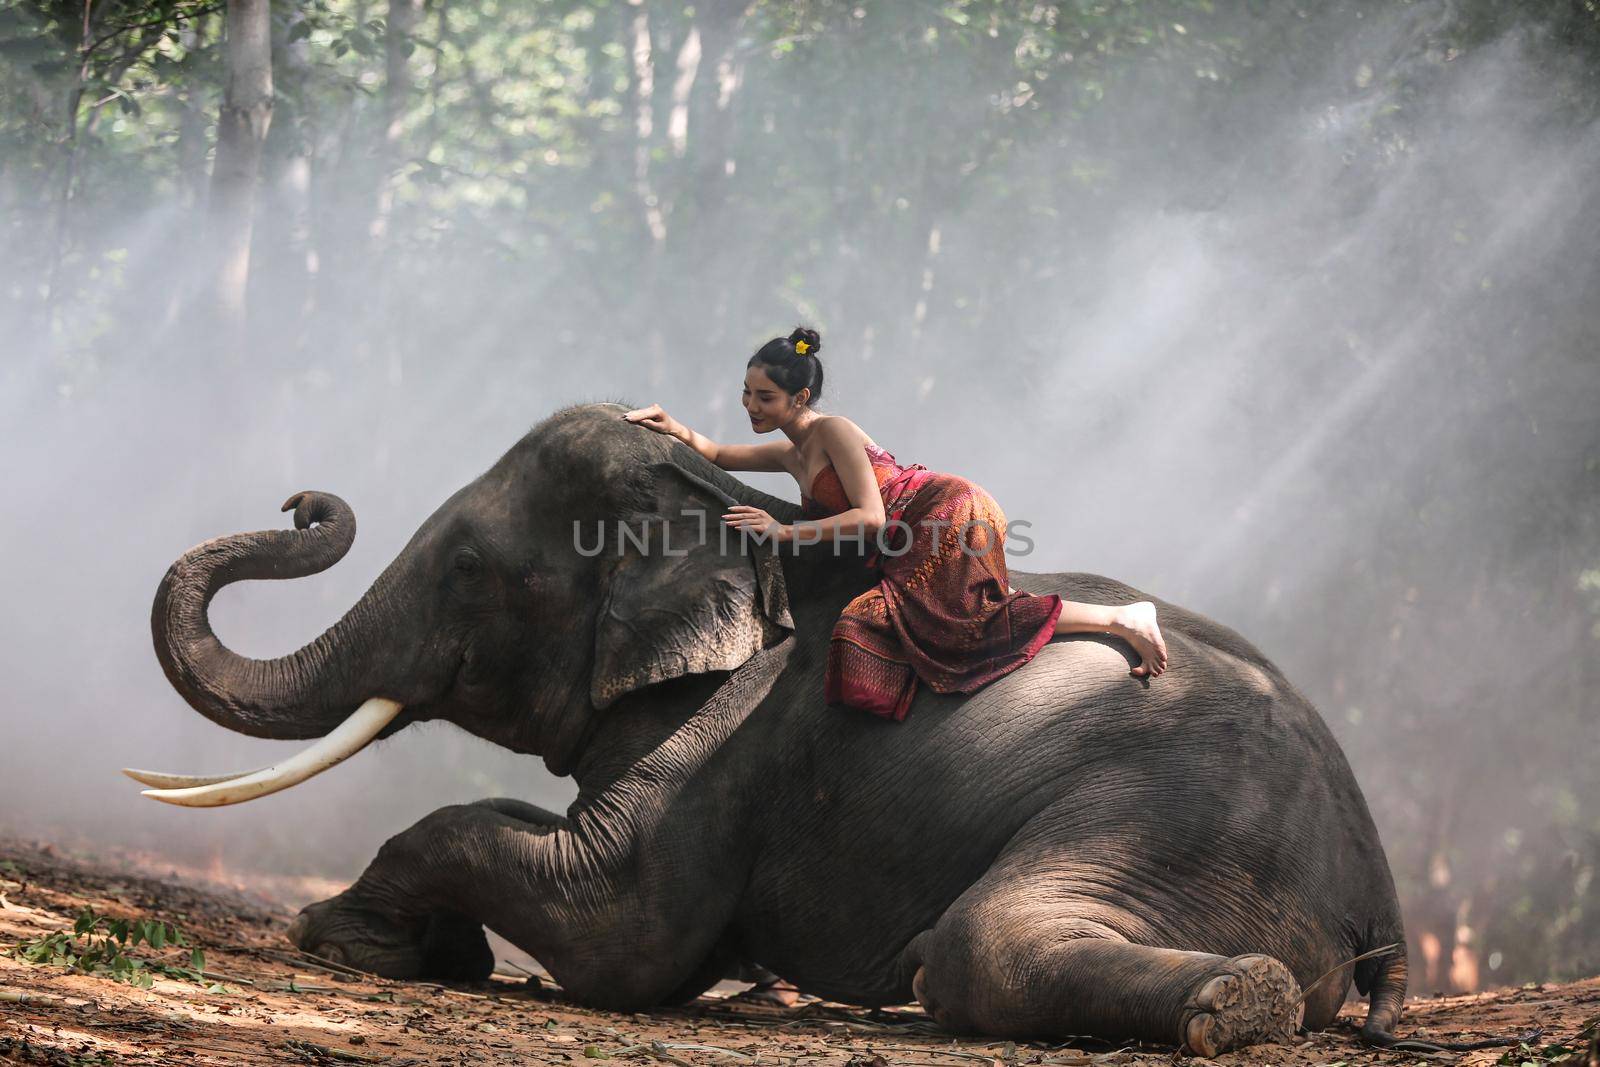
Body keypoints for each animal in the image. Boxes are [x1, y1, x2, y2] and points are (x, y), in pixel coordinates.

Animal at [137, 403, 1414, 1062]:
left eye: (466, 571)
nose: (306, 499)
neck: (719, 509)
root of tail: (1378, 888)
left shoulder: (727, 731)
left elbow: (623, 931)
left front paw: (341, 935)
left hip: (1181, 824)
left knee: (980, 941)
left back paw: (1230, 1004)